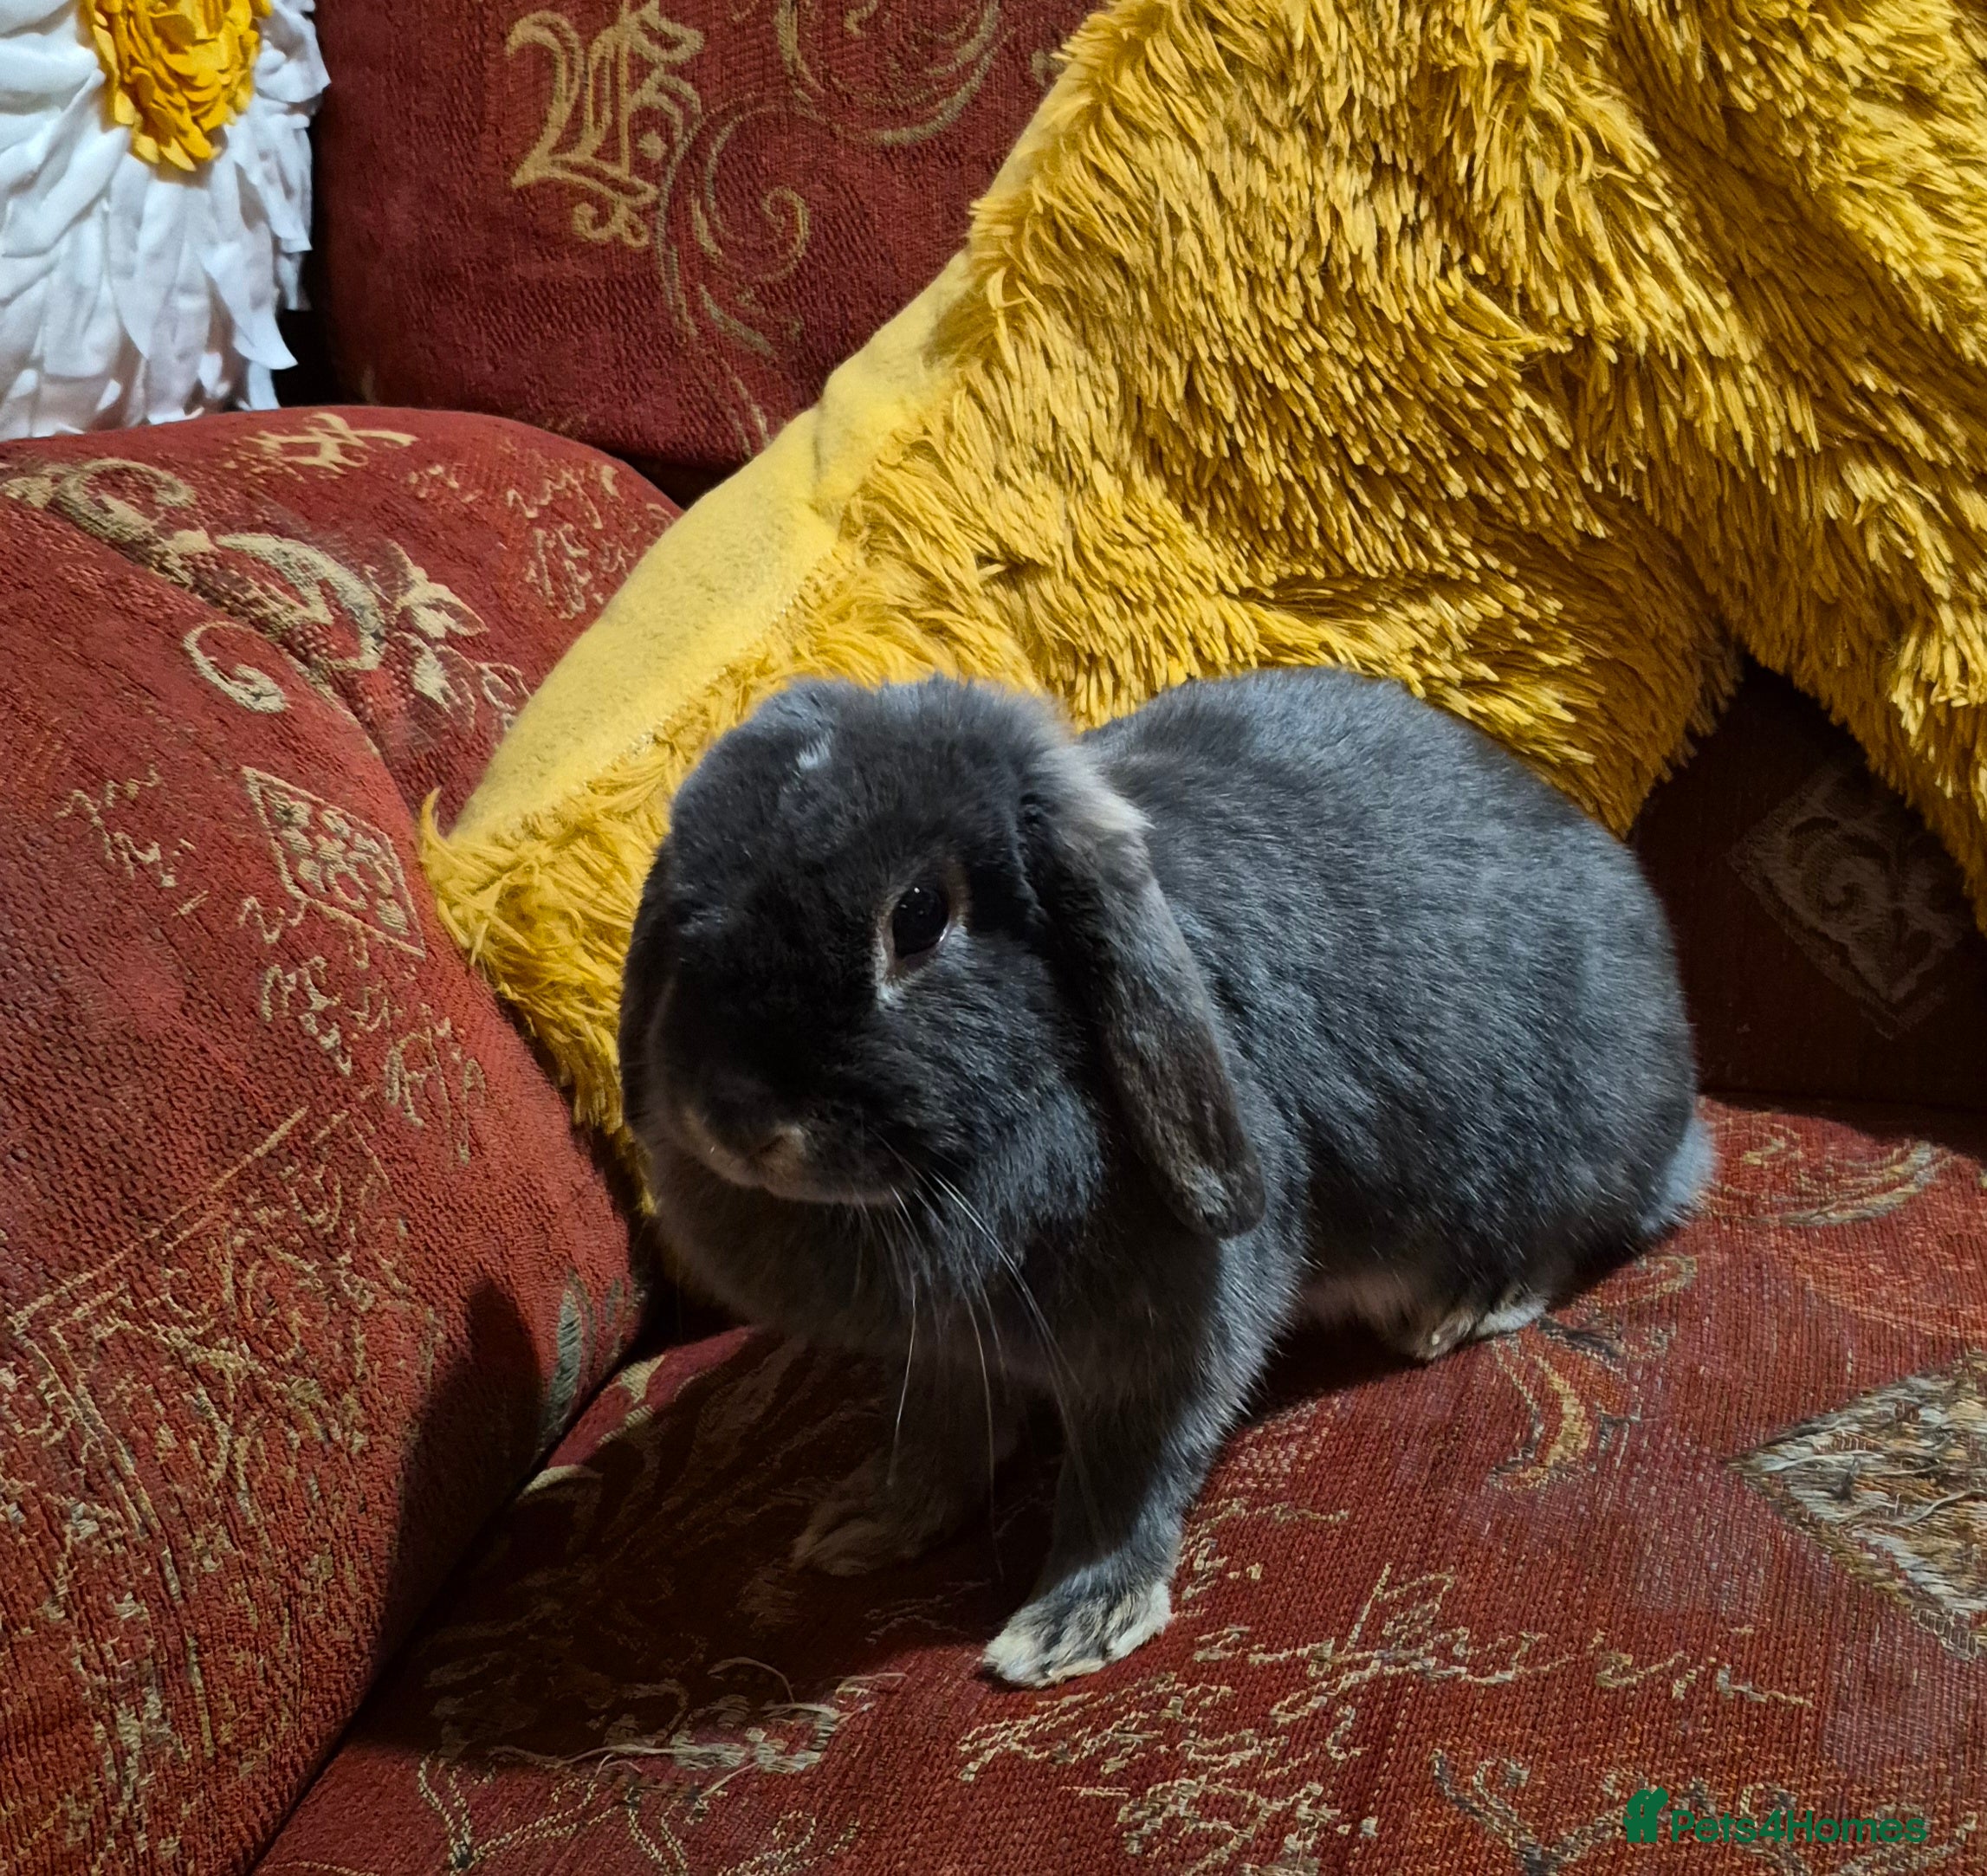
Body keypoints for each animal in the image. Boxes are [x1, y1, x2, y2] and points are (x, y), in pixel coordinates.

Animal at [618, 668, 1710, 1688]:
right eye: (685, 908)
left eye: (919, 916)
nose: (738, 1118)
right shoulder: (946, 1353)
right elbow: (939, 1431)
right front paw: (869, 1520)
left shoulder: (1166, 1338)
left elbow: (1128, 1466)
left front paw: (1075, 1619)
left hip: (1568, 1144)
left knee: (1586, 1226)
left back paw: (1461, 1303)